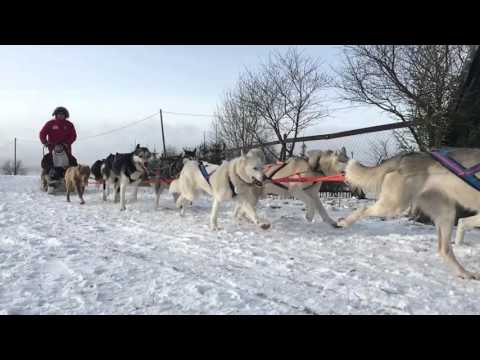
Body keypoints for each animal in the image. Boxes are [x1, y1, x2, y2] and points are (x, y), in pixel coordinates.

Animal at [338, 149, 480, 282]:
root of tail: (405, 156)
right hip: (393, 205)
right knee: (364, 209)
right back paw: (344, 222)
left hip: (446, 214)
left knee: (444, 250)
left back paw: (464, 273)